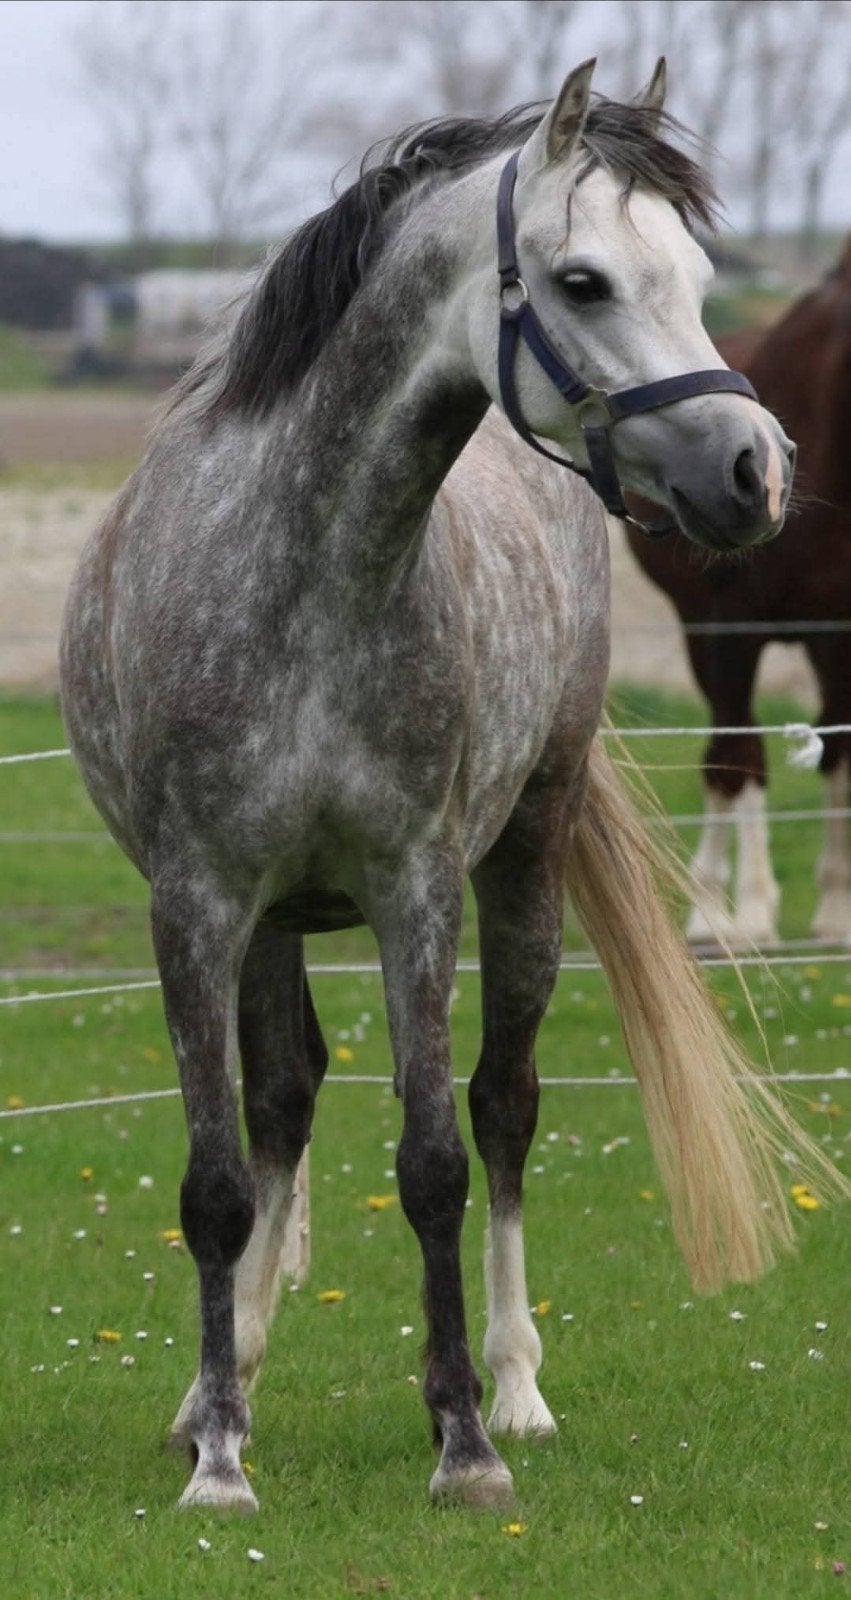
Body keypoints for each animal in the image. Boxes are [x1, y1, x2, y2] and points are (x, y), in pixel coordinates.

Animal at [60, 58, 821, 1516]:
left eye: (697, 274)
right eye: (582, 279)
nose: (755, 472)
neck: (304, 575)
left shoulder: (415, 890)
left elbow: (433, 1162)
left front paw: (463, 1440)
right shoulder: (198, 903)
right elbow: (217, 1180)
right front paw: (219, 1452)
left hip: (522, 861)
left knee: (505, 1106)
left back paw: (515, 1385)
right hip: (271, 924)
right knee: (283, 1102)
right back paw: (221, 1388)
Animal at [625, 241, 851, 947]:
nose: (763, 479)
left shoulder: (841, 638)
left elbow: (839, 752)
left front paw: (837, 913)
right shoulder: (727, 632)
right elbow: (740, 758)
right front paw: (745, 914)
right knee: (723, 756)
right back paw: (710, 910)